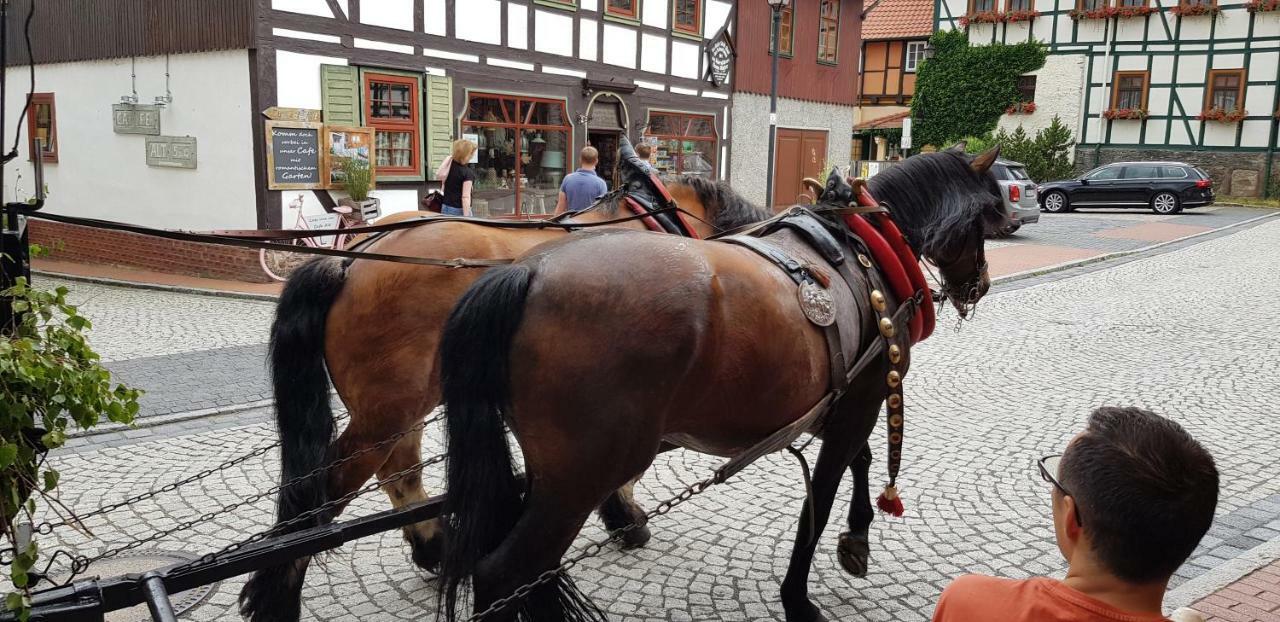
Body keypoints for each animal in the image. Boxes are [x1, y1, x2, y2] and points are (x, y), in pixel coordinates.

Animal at [238, 170, 768, 622]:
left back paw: (433, 548)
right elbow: (630, 467)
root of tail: (350, 258)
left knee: (399, 473)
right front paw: (626, 518)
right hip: (385, 412)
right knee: (324, 495)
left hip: (400, 406)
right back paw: (278, 597)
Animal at [437, 147, 1008, 622]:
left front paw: (858, 537)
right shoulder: (862, 401)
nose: (979, 284)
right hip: (579, 478)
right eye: (984, 219)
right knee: (503, 574)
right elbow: (820, 501)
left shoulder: (839, 402)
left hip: (551, 472)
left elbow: (861, 462)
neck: (864, 250)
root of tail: (528, 274)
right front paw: (797, 598)